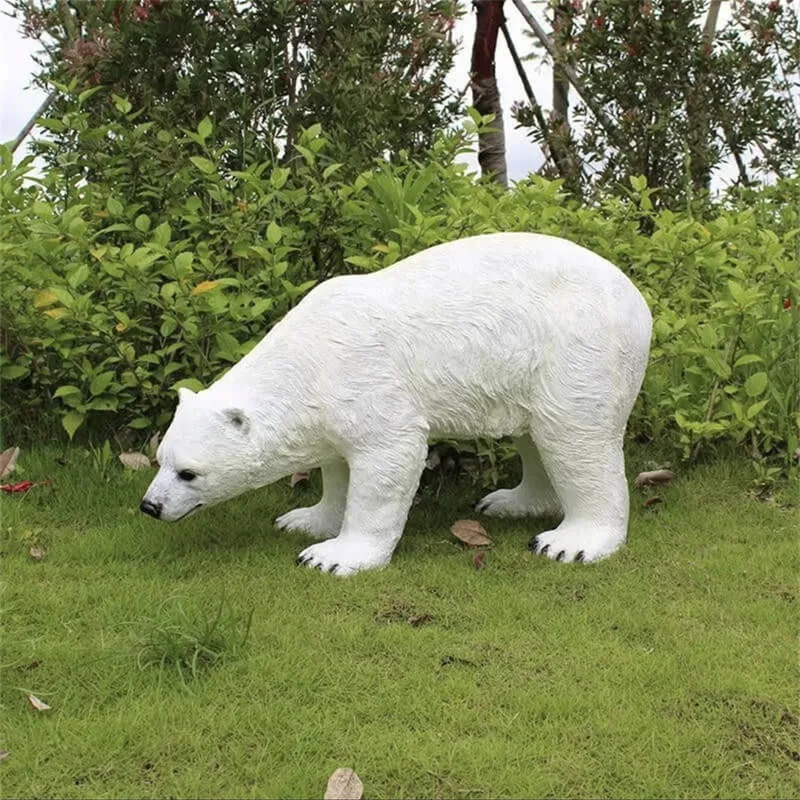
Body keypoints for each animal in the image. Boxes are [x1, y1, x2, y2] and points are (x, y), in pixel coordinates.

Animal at [140, 232, 652, 576]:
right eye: (160, 459)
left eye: (189, 472)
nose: (149, 506)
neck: (308, 357)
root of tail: (638, 300)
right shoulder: (329, 404)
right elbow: (337, 465)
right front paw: (304, 520)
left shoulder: (366, 379)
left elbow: (388, 460)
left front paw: (333, 557)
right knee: (533, 432)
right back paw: (510, 501)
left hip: (578, 347)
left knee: (573, 436)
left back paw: (571, 542)